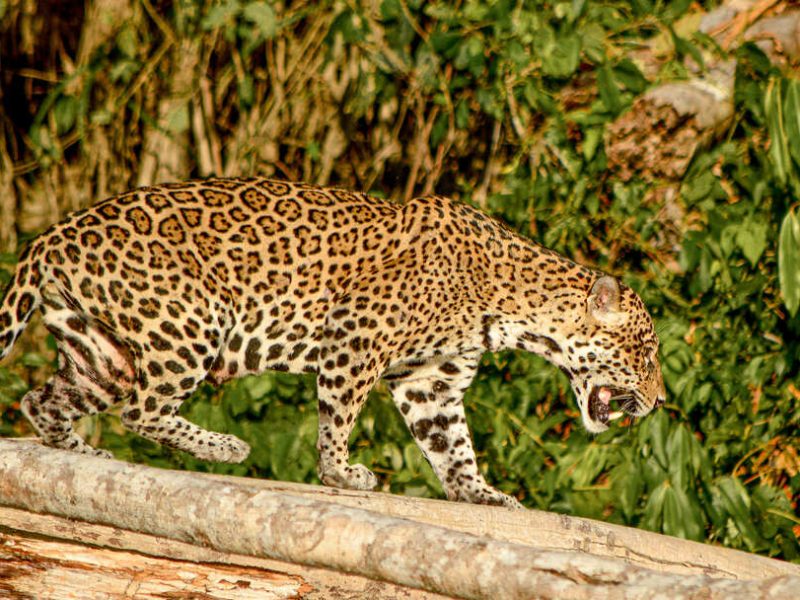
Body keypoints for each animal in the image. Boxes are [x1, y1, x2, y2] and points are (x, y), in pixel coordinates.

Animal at [0, 177, 665, 508]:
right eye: (646, 352)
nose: (659, 401)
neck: (513, 303)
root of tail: (49, 235)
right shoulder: (356, 334)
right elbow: (338, 416)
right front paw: (342, 475)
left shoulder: (433, 381)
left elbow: (452, 445)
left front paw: (480, 493)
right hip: (190, 321)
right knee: (141, 410)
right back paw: (225, 448)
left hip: (102, 352)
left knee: (43, 402)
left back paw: (84, 454)